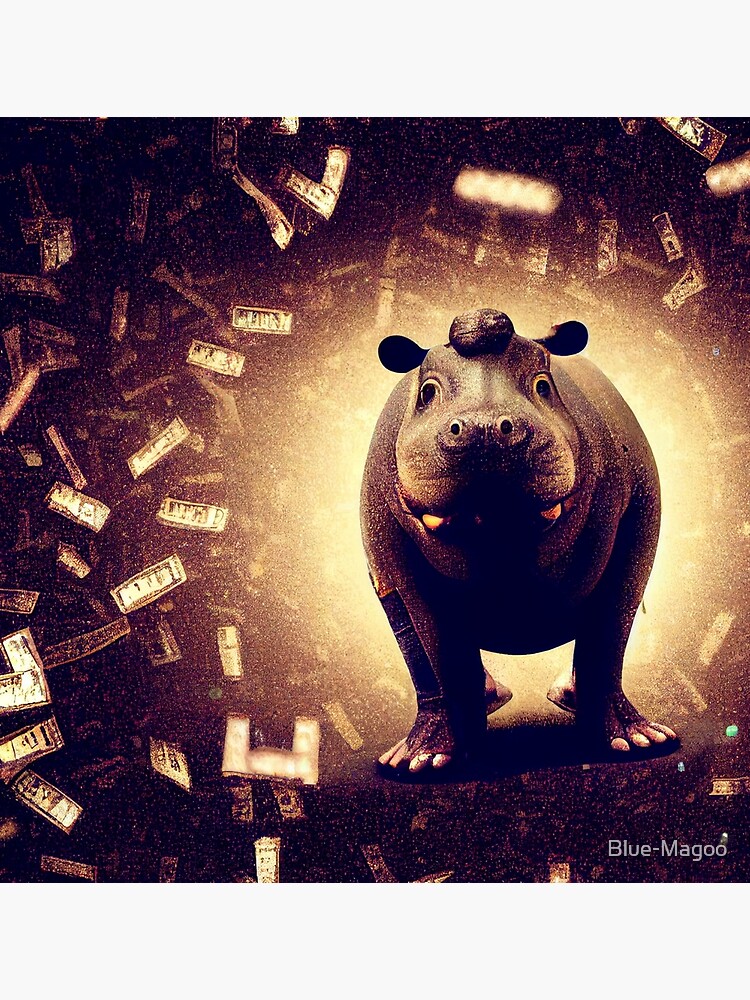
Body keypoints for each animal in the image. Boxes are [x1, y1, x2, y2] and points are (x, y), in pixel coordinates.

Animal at [360, 309, 678, 774]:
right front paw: (430, 762)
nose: (485, 428)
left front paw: (636, 743)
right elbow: (432, 648)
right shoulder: (390, 551)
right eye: (426, 392)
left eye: (543, 385)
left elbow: (608, 632)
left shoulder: (635, 524)